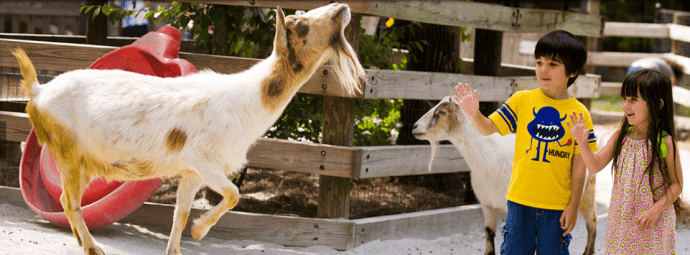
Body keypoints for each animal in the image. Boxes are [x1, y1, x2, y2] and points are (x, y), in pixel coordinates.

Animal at [12, 2, 366, 254]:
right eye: (302, 25)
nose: (342, 8)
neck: (246, 100)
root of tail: (38, 92)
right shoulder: (202, 159)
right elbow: (234, 193)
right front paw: (199, 231)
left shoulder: (192, 172)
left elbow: (179, 213)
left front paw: (180, 245)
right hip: (69, 156)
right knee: (70, 204)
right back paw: (93, 248)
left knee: (69, 203)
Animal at [412, 96, 592, 255]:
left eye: (443, 112)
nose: (414, 127)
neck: (487, 157)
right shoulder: (488, 204)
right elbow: (488, 235)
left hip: (583, 196)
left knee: (592, 225)